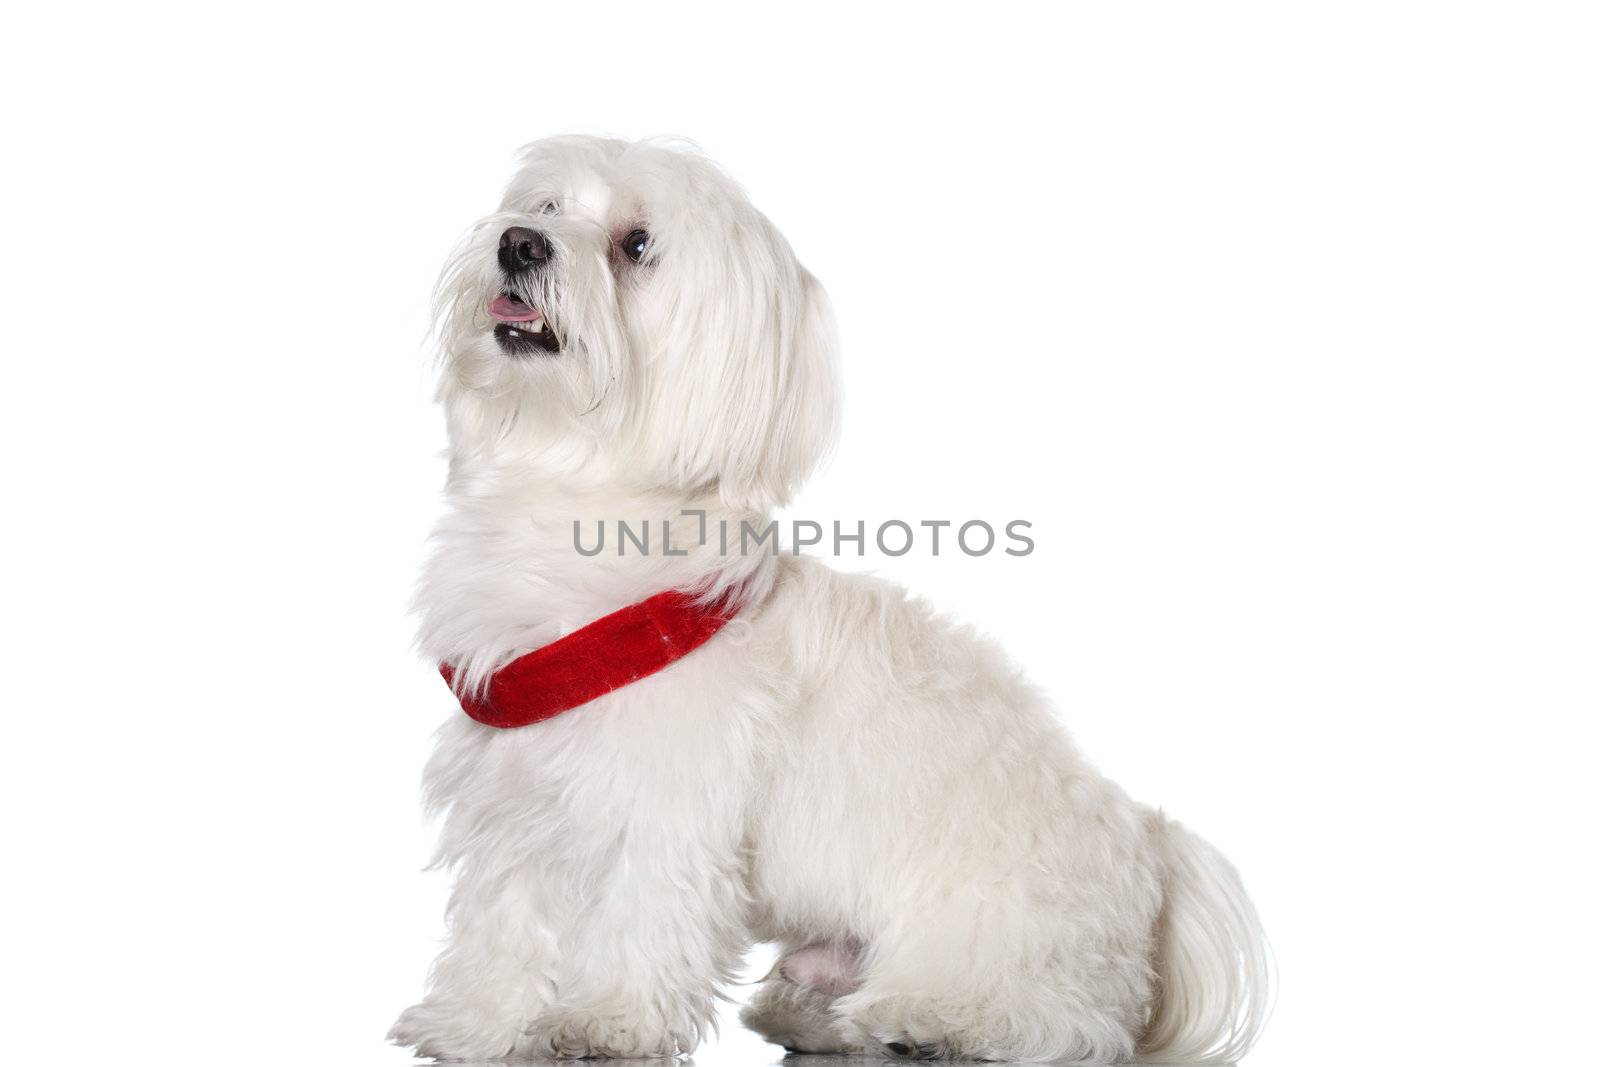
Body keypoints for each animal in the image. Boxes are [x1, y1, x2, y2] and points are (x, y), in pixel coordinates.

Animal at [387, 135, 1260, 1062]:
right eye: (544, 209)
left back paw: (933, 1021)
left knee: (1060, 1019)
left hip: (998, 926)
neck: (570, 494)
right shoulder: (512, 792)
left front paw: (605, 1022)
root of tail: (1150, 858)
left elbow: (641, 916)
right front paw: (474, 1019)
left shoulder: (667, 801)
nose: (518, 243)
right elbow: (502, 917)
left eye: (637, 245)